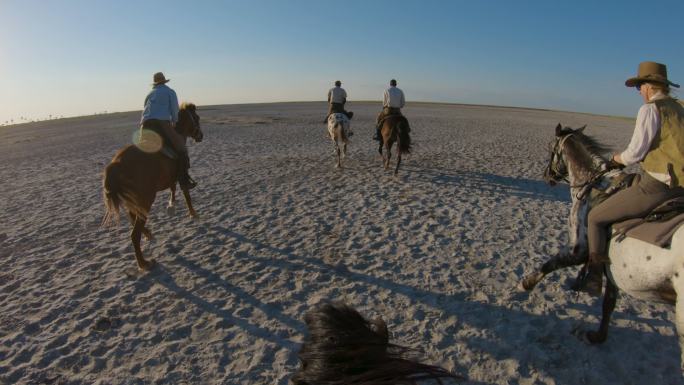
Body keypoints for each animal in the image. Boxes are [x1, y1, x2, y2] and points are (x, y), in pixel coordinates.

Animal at [101, 103, 203, 270]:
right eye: (197, 117)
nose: (200, 135)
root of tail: (116, 164)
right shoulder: (181, 174)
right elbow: (186, 193)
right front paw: (193, 214)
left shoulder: (172, 179)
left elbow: (174, 190)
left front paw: (171, 205)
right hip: (145, 200)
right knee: (134, 234)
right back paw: (144, 263)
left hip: (133, 200)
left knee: (132, 219)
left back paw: (148, 234)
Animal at [520, 124, 680, 368]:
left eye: (551, 149)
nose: (547, 176)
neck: (593, 184)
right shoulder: (613, 266)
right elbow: (608, 304)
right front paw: (596, 336)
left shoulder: (579, 249)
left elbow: (551, 263)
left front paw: (526, 283)